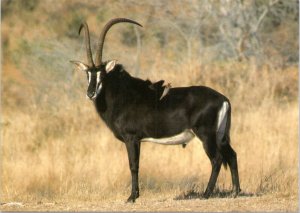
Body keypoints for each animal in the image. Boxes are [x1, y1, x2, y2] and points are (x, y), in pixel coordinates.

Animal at [71, 17, 241, 202]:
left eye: (102, 74)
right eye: (87, 74)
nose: (90, 93)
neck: (123, 94)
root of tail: (223, 99)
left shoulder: (132, 138)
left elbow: (134, 165)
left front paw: (132, 197)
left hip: (206, 135)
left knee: (217, 159)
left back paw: (206, 194)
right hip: (220, 135)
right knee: (232, 156)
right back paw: (236, 191)